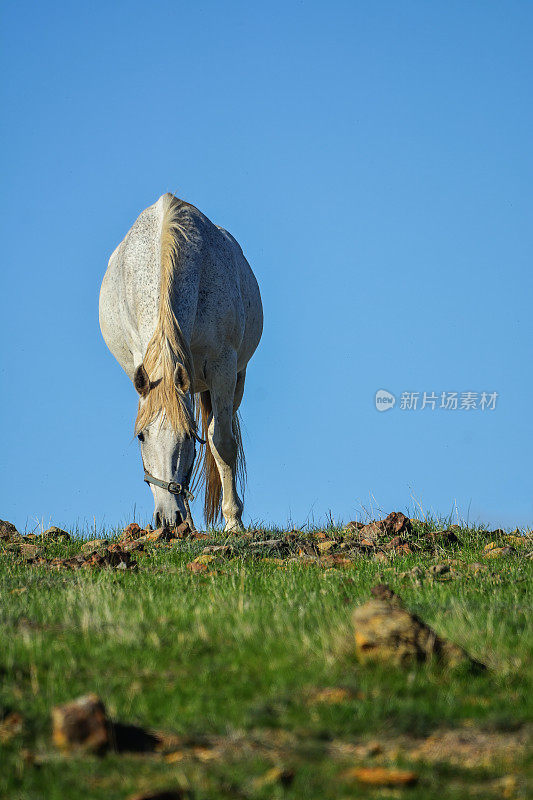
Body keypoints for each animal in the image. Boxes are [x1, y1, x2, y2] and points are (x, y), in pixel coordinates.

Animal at [98, 194, 262, 532]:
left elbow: (222, 442)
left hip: (233, 380)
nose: (168, 518)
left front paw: (234, 522)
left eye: (187, 436)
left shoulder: (224, 368)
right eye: (141, 436)